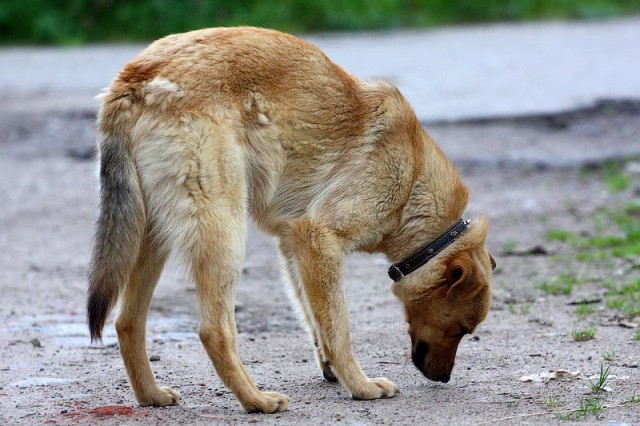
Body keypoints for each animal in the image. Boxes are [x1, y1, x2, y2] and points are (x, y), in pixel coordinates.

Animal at [86, 26, 496, 412]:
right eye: (462, 329)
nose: (444, 379)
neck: (413, 181)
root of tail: (136, 78)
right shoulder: (319, 239)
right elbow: (338, 328)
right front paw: (360, 386)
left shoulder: (294, 247)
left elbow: (317, 320)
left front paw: (332, 368)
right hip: (224, 233)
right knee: (214, 331)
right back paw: (256, 400)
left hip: (152, 237)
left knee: (127, 322)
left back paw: (151, 394)